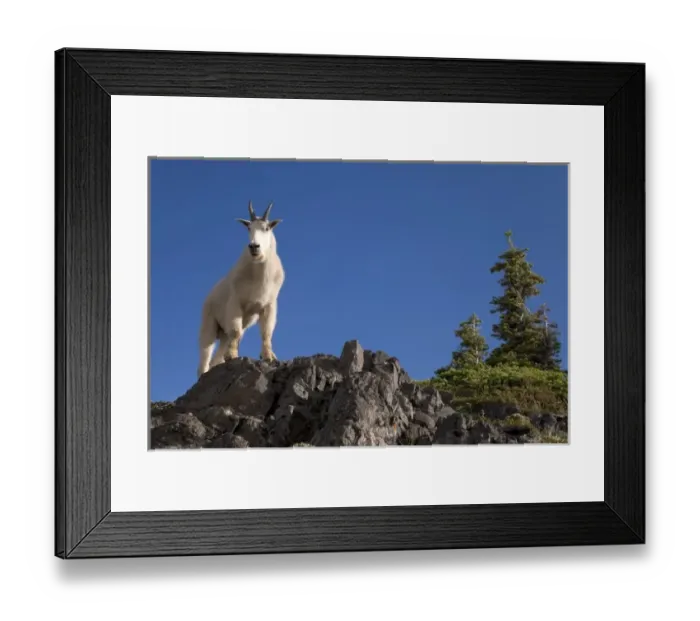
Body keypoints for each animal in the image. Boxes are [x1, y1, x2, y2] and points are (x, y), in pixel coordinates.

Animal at [197, 201, 285, 377]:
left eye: (266, 228)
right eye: (249, 228)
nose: (254, 246)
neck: (260, 273)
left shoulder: (269, 305)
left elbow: (266, 332)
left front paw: (269, 356)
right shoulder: (235, 303)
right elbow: (236, 331)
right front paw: (232, 356)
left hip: (224, 333)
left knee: (217, 354)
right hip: (209, 322)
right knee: (205, 353)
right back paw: (203, 374)